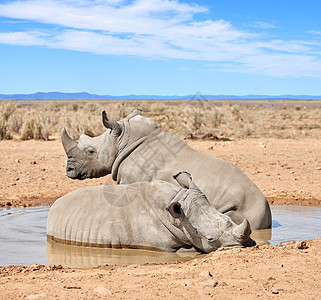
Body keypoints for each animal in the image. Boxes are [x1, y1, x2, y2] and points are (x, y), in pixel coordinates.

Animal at [62, 109, 270, 230]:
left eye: (90, 152)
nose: (68, 169)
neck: (121, 141)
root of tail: (268, 212)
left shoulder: (130, 182)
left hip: (245, 208)